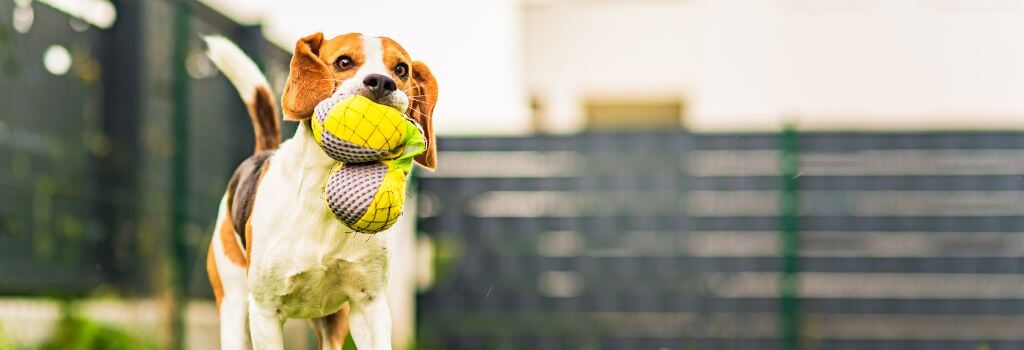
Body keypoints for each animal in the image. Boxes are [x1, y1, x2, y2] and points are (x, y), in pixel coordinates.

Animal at [203, 31, 436, 347]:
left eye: (401, 70)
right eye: (344, 62)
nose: (382, 82)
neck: (322, 194)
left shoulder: (369, 305)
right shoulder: (265, 311)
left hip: (333, 321)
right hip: (234, 305)